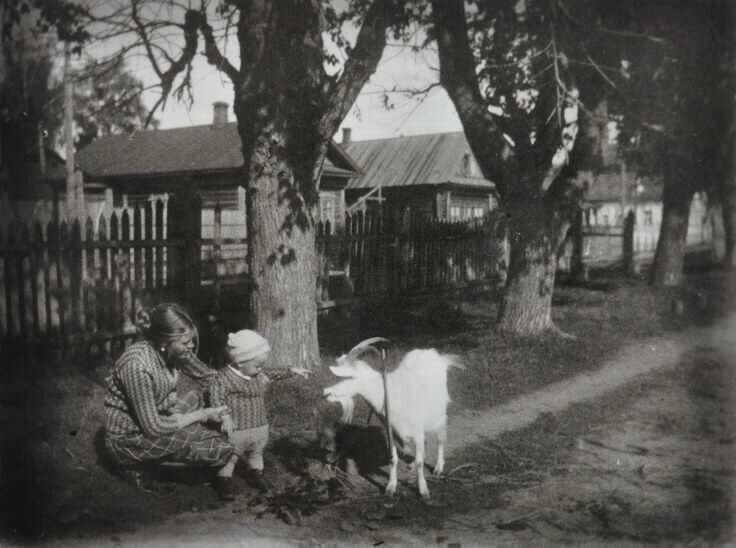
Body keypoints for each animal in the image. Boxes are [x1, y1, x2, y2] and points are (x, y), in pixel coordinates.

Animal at [322, 344, 460, 498]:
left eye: (350, 377)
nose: (326, 392)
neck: (389, 395)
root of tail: (436, 355)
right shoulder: (391, 433)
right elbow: (393, 459)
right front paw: (391, 487)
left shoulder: (417, 431)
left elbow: (420, 462)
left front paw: (423, 490)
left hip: (440, 412)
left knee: (440, 439)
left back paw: (438, 467)